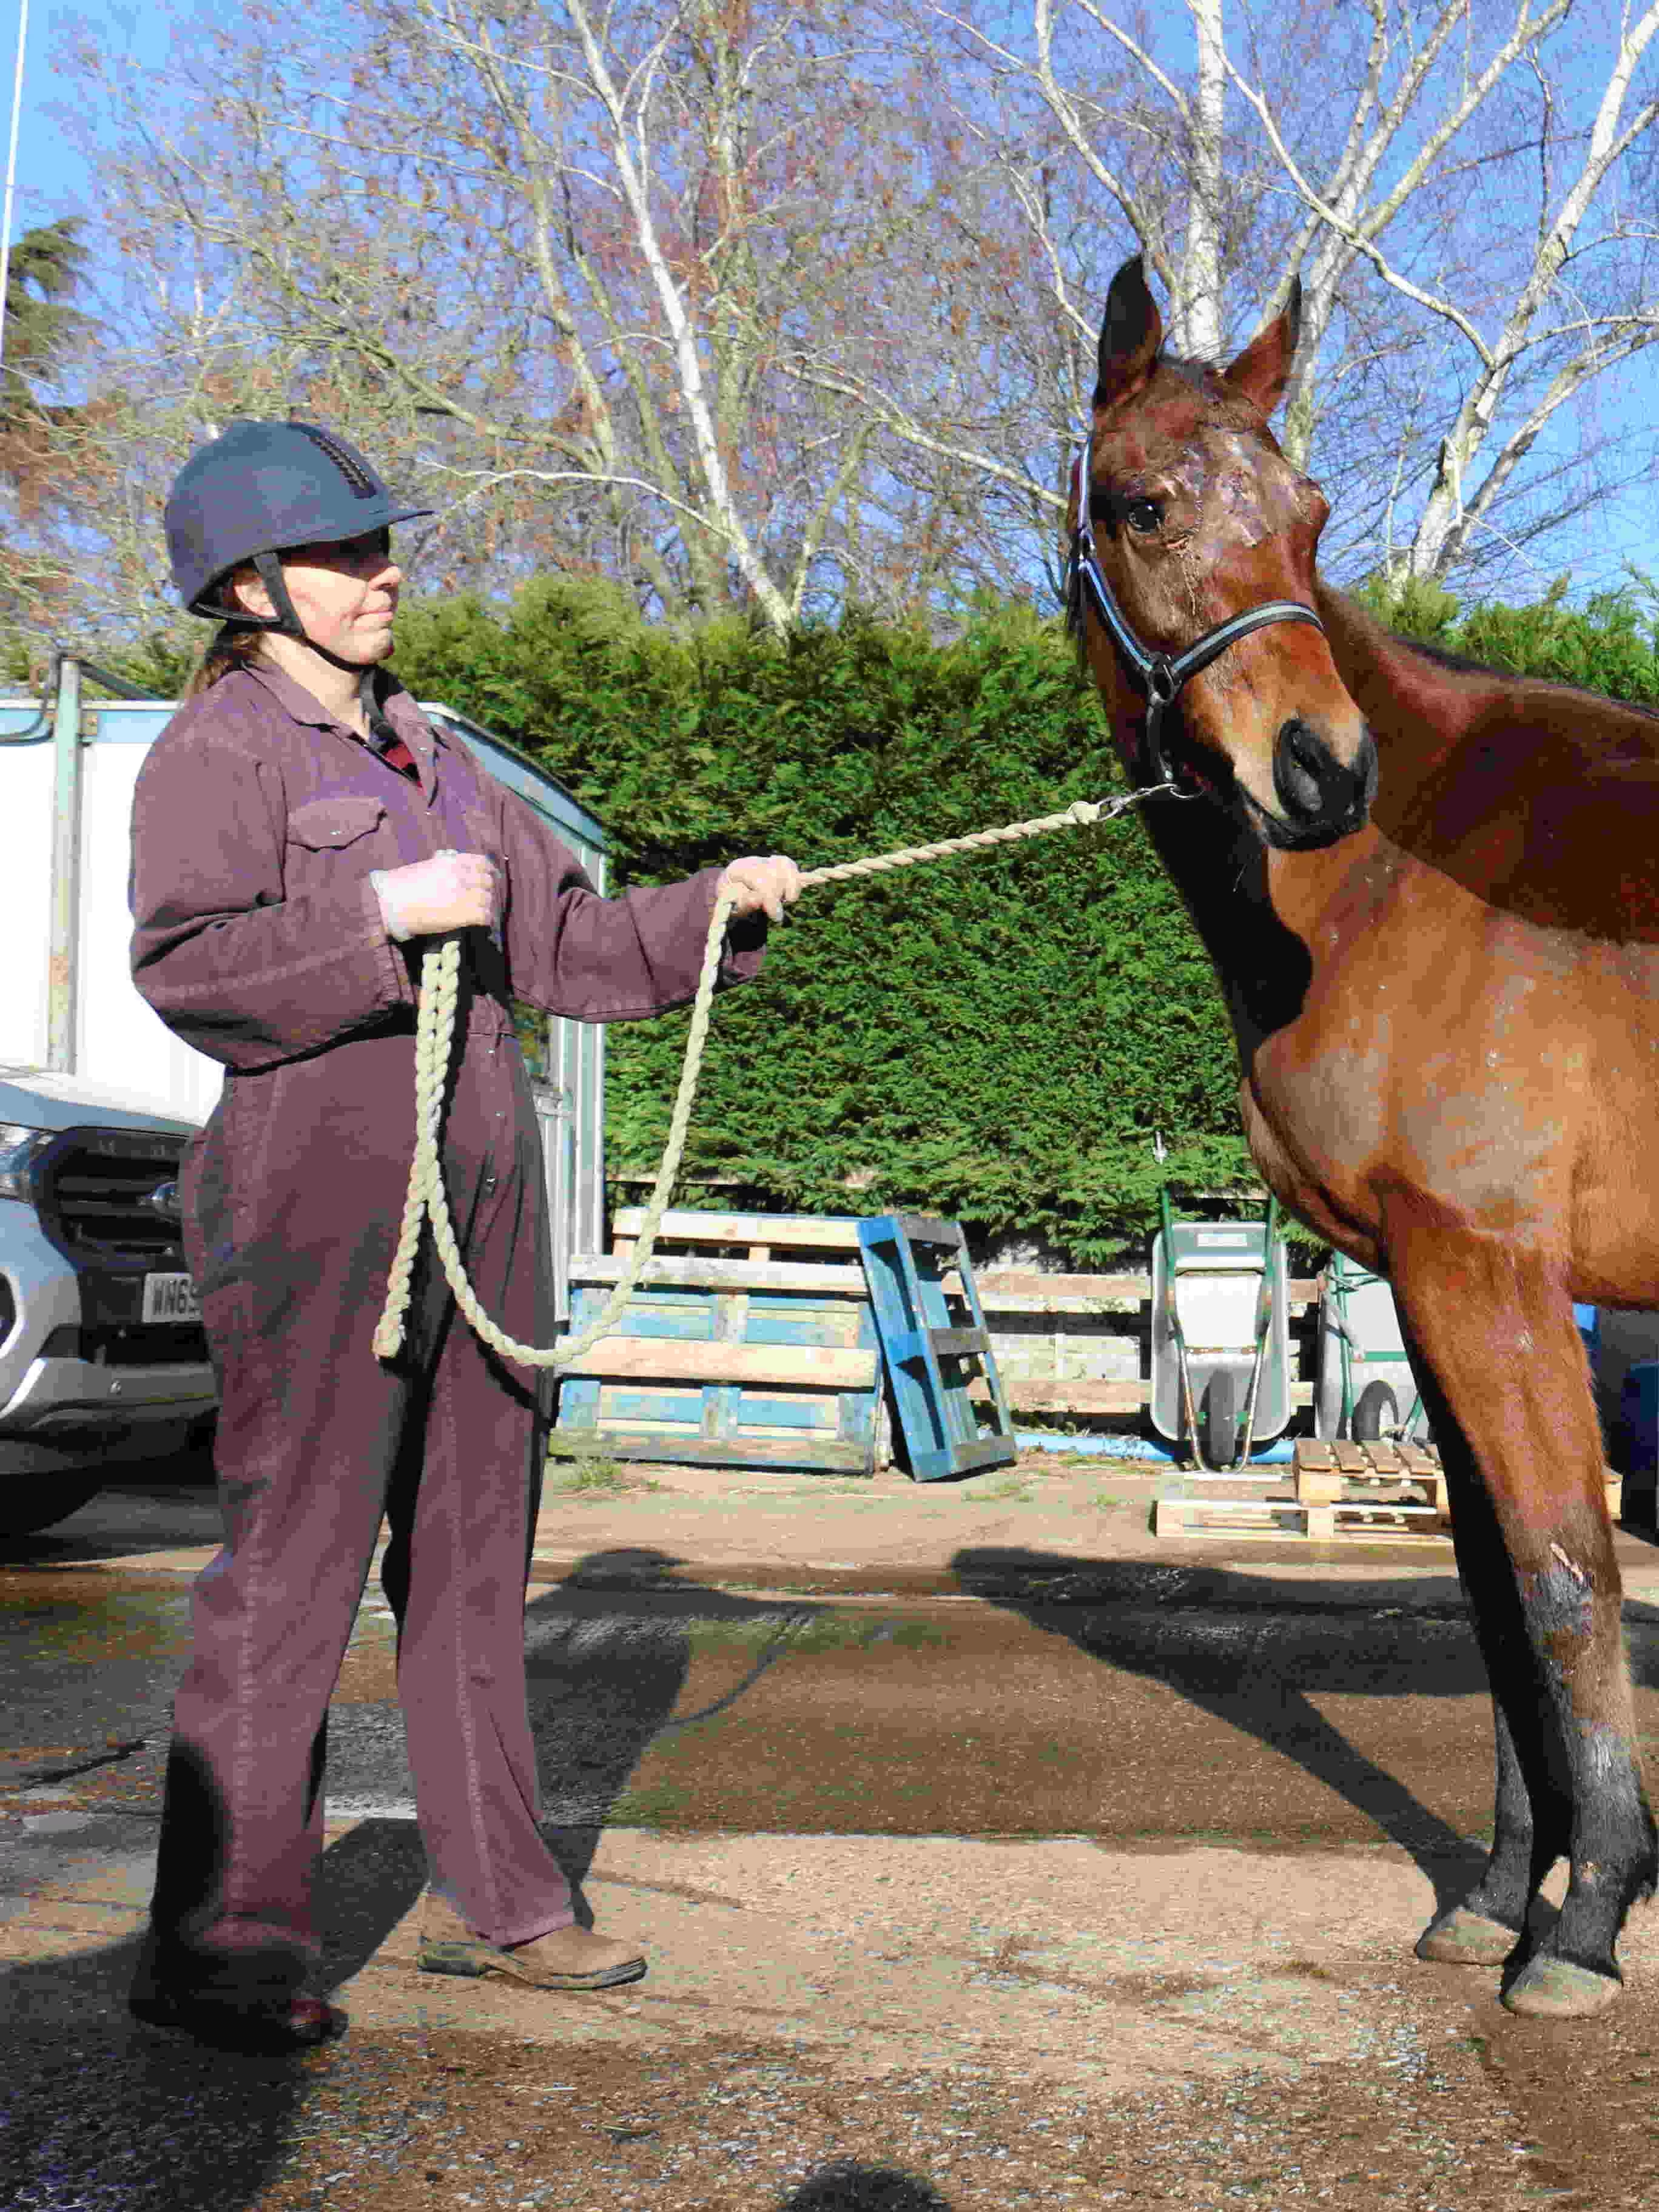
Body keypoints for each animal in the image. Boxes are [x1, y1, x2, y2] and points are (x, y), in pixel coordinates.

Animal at [1070, 250, 1659, 2017]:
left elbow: (1560, 1571)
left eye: (1307, 512)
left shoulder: (1490, 1275)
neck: (1393, 879)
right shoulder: (1422, 1278)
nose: (1320, 772)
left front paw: (1585, 1922)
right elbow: (1481, 1586)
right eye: (1140, 503)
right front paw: (1496, 1892)